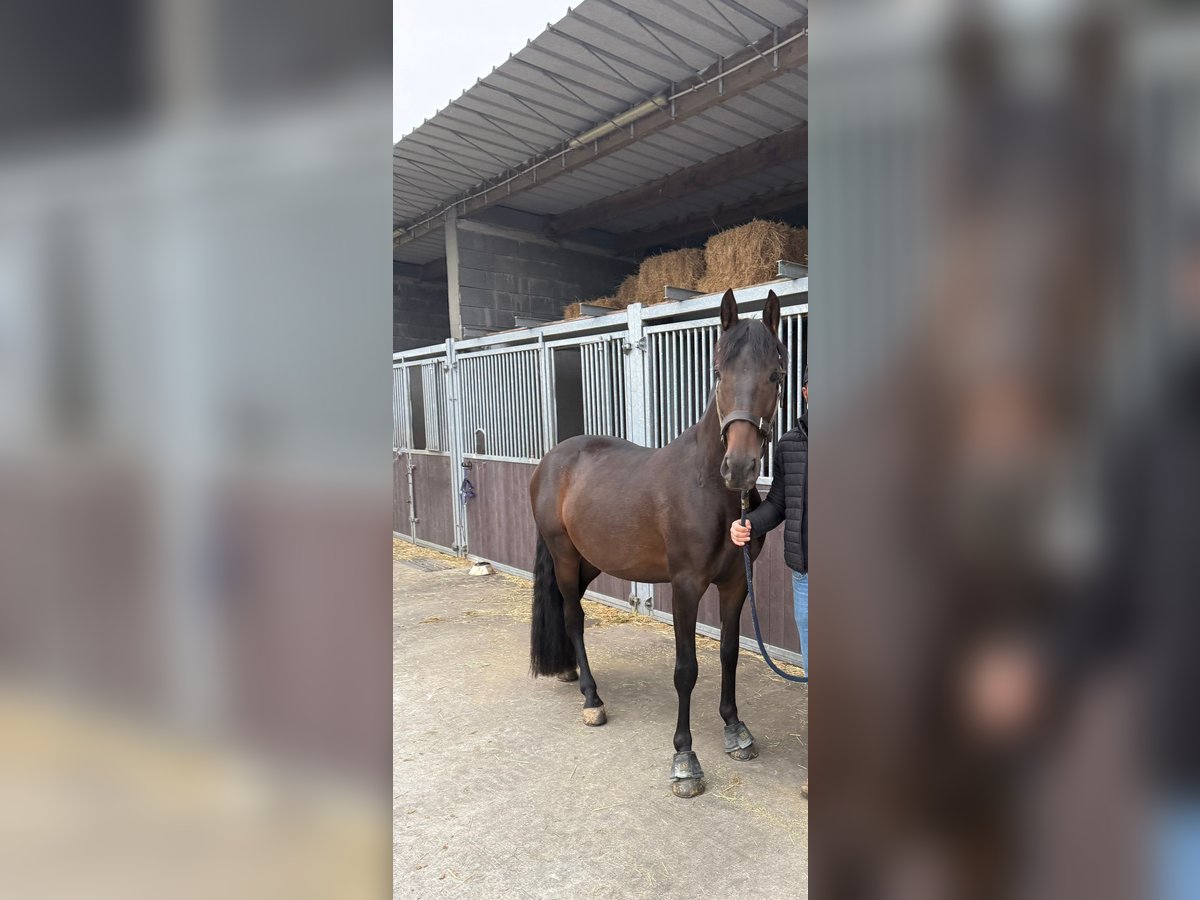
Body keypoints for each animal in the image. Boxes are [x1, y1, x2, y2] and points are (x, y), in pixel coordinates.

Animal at [528, 289, 787, 798]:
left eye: (776, 373)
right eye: (717, 373)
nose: (740, 468)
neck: (708, 486)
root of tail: (552, 460)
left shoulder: (734, 585)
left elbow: (728, 653)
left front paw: (735, 729)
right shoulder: (686, 586)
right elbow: (686, 669)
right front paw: (685, 759)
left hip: (590, 560)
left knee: (569, 613)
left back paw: (569, 671)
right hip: (565, 557)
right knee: (573, 617)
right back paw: (591, 698)